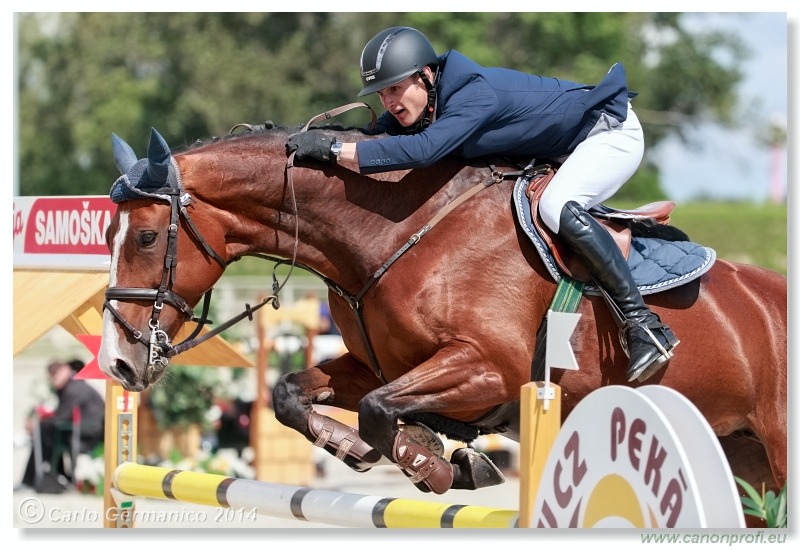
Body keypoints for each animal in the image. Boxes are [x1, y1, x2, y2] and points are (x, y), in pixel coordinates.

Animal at [100, 123, 788, 516]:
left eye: (145, 237)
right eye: (109, 234)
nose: (118, 362)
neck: (394, 233)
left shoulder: (490, 369)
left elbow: (380, 408)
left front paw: (432, 461)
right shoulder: (378, 363)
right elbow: (294, 394)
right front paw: (367, 447)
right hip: (743, 459)